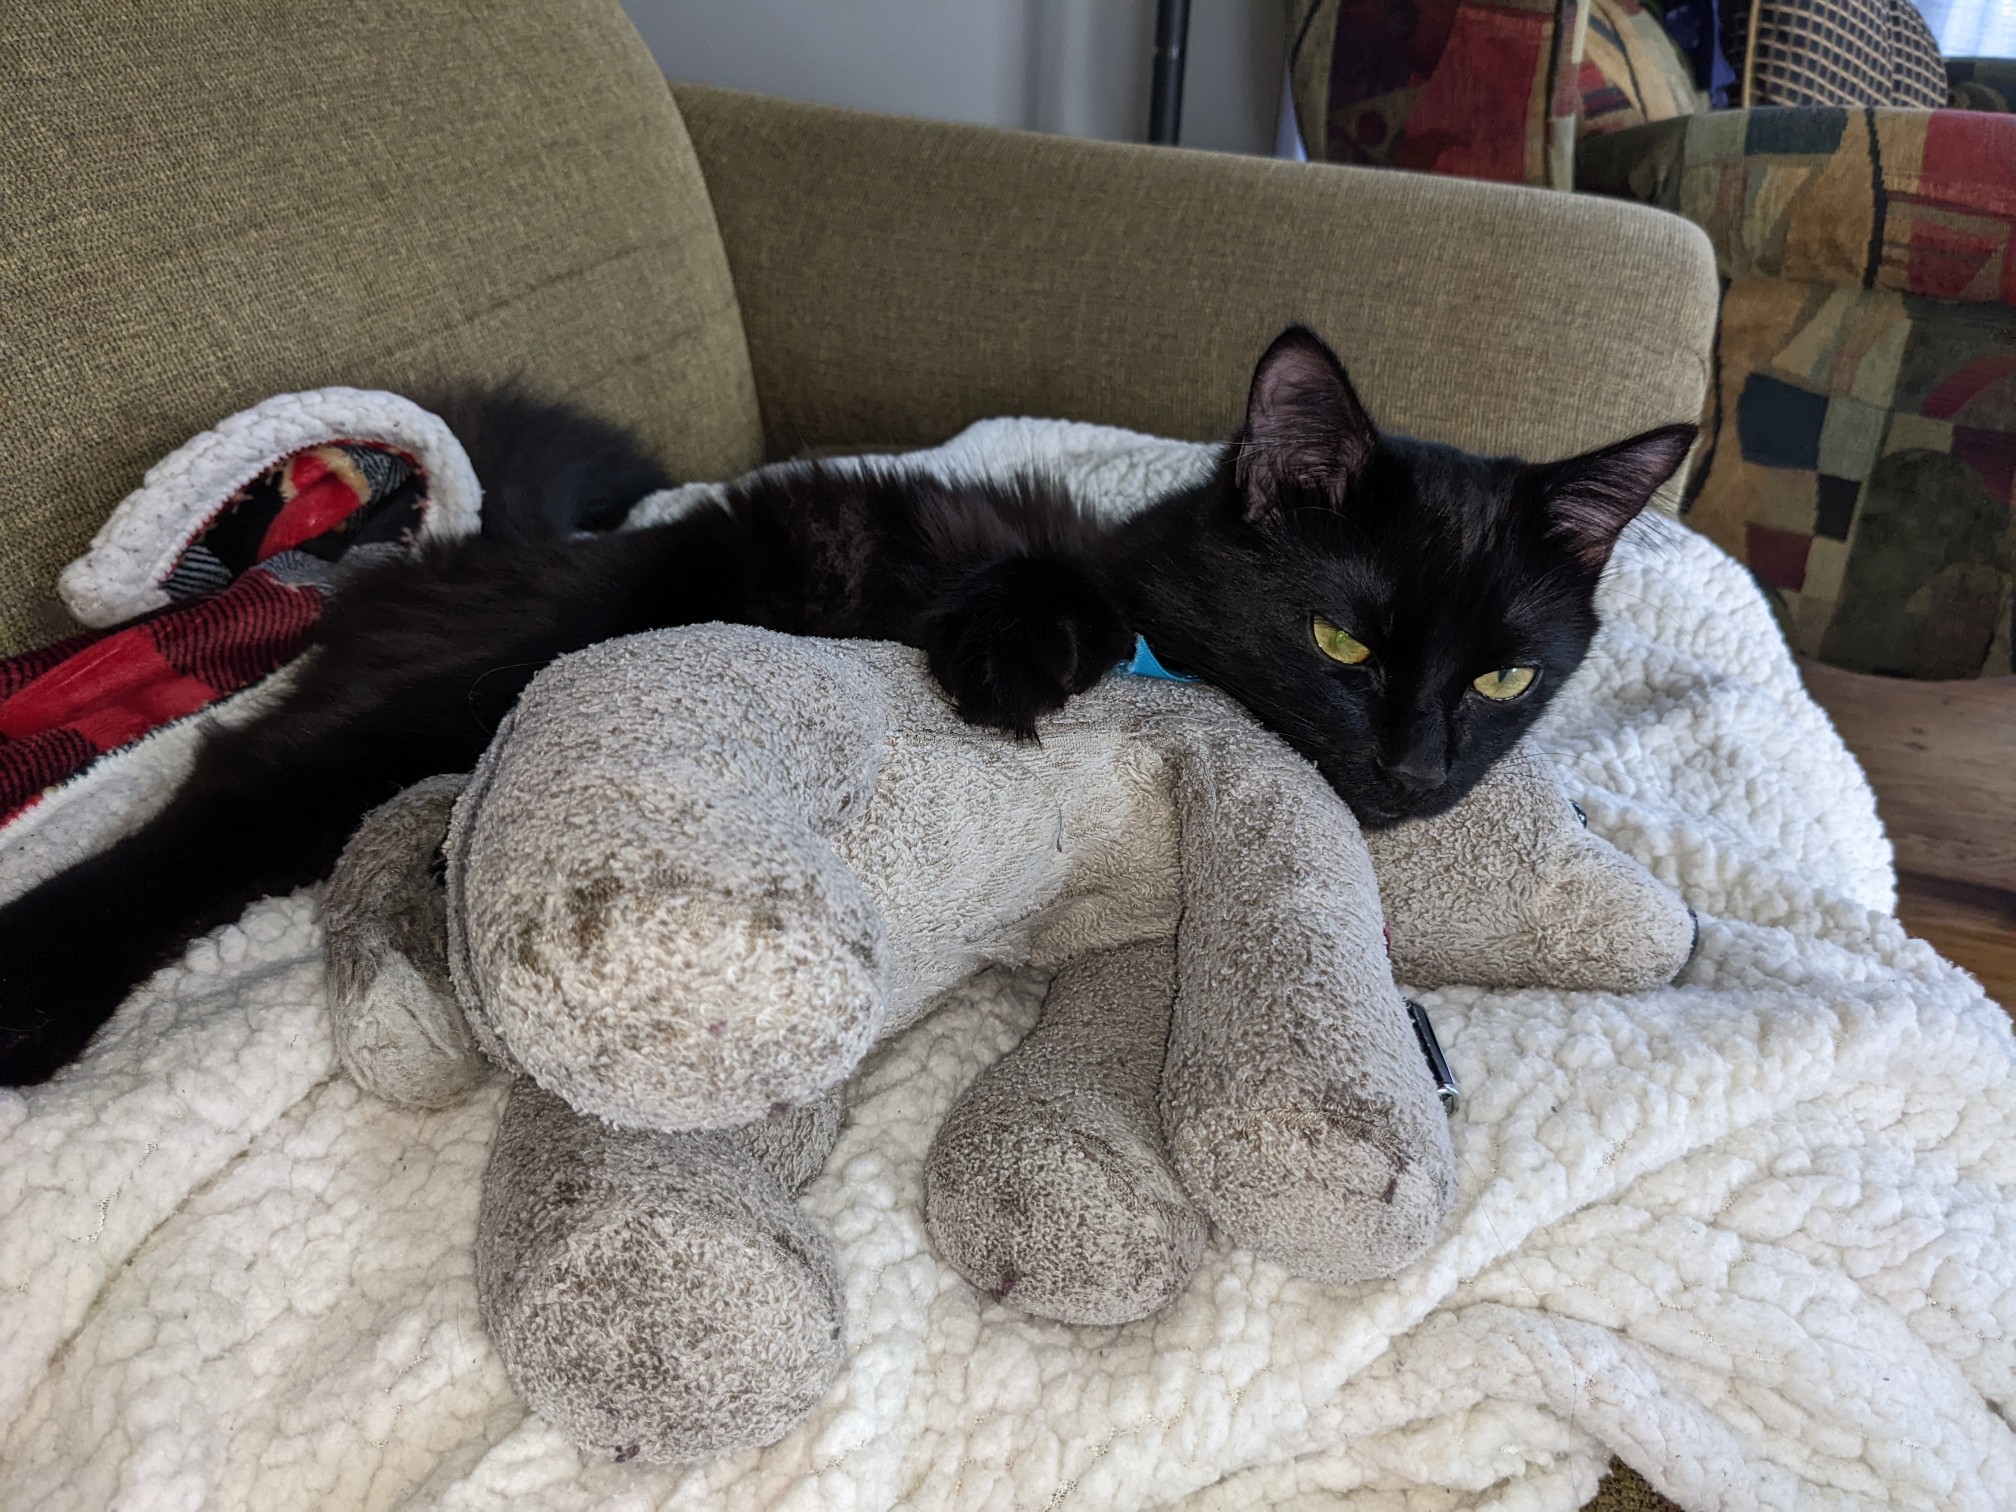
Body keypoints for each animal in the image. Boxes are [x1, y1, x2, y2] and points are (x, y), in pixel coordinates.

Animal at [0, 330, 1685, 1088]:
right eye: (1342, 636)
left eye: (1506, 676)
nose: (1414, 768)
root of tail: (479, 546)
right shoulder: (1042, 563)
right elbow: (1036, 589)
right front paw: (1004, 663)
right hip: (450, 693)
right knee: (226, 790)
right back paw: (41, 988)